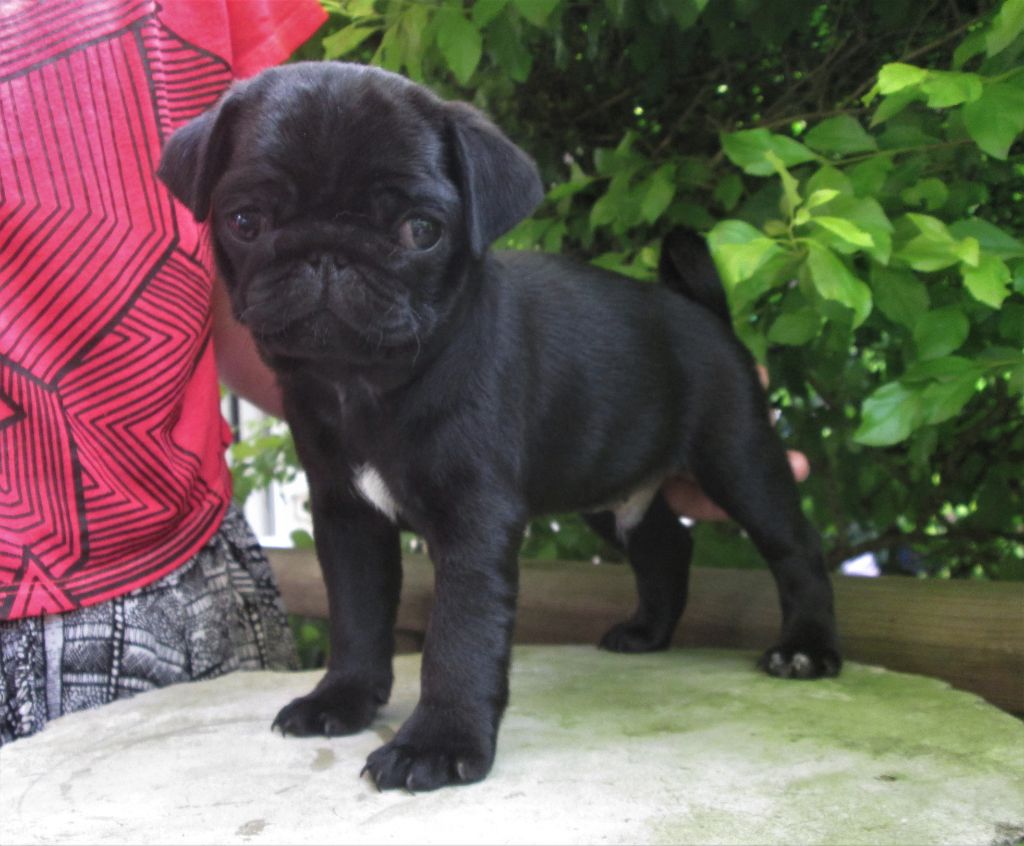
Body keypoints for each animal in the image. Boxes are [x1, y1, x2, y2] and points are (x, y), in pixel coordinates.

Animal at [158, 61, 841, 791]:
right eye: (245, 221)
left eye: (421, 230)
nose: (326, 255)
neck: (364, 384)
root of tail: (704, 312)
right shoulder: (348, 517)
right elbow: (358, 616)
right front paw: (341, 699)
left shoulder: (474, 520)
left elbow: (459, 636)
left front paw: (435, 742)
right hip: (603, 480)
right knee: (663, 543)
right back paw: (647, 634)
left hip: (737, 456)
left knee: (794, 547)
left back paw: (806, 652)